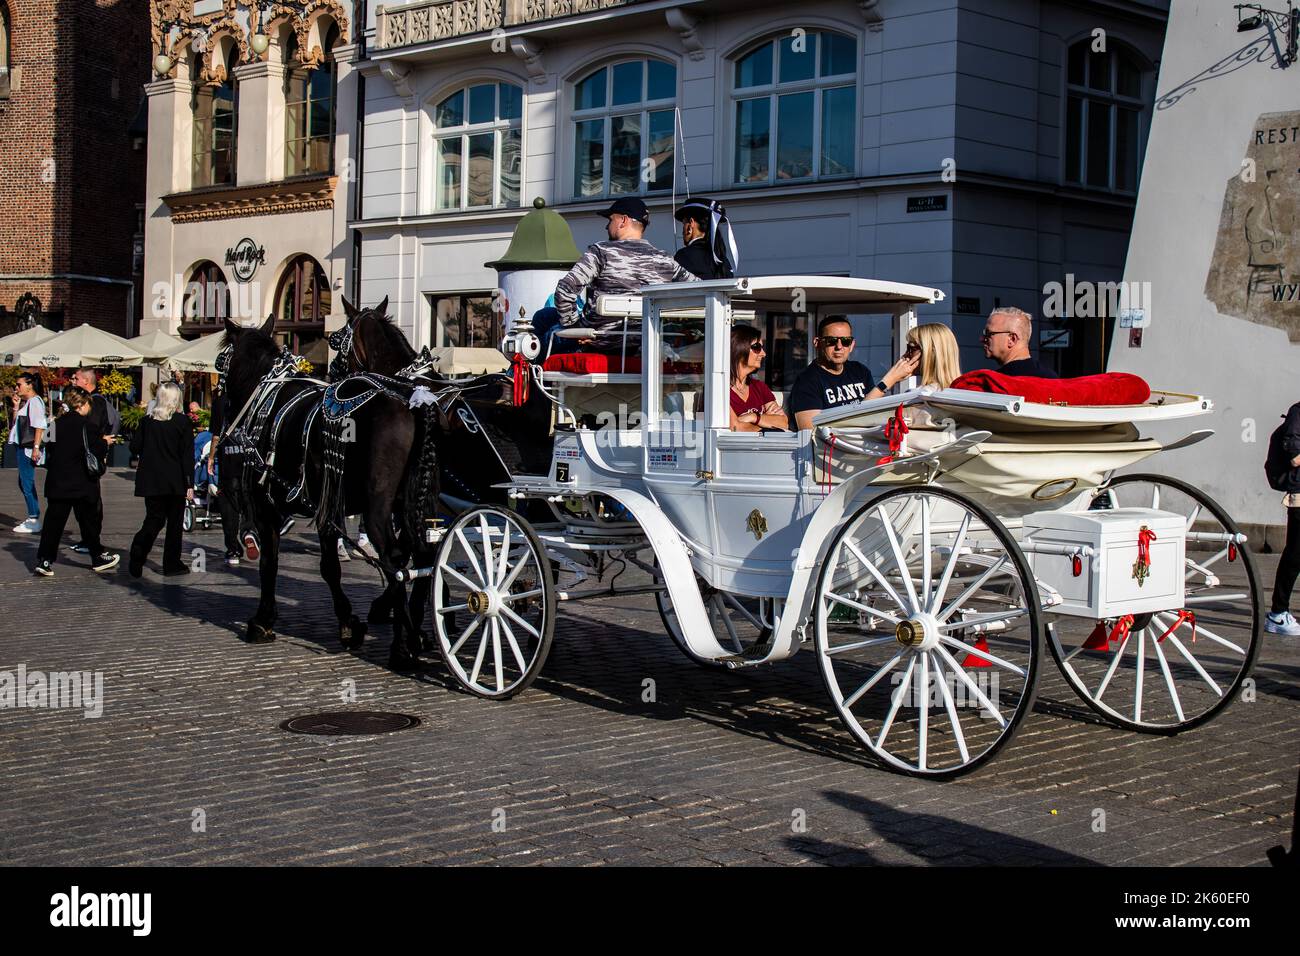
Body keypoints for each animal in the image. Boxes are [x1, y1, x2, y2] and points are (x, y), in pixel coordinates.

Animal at [218, 306, 431, 665]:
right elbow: (330, 566)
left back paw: (404, 648)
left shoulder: (265, 505)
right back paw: (414, 633)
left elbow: (270, 562)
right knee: (424, 555)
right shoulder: (328, 504)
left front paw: (263, 620)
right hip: (412, 505)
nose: (220, 410)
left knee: (396, 561)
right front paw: (349, 623)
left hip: (379, 508)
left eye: (220, 361)